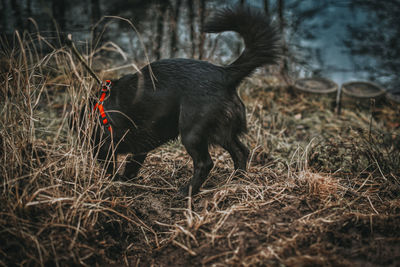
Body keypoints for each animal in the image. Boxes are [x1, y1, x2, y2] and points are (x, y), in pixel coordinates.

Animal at [89, 5, 280, 196]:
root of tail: (224, 74)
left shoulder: (106, 147)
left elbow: (113, 165)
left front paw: (115, 181)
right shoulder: (139, 147)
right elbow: (132, 163)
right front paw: (125, 179)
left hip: (192, 132)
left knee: (205, 163)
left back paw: (187, 191)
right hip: (222, 131)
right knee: (241, 152)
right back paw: (236, 180)